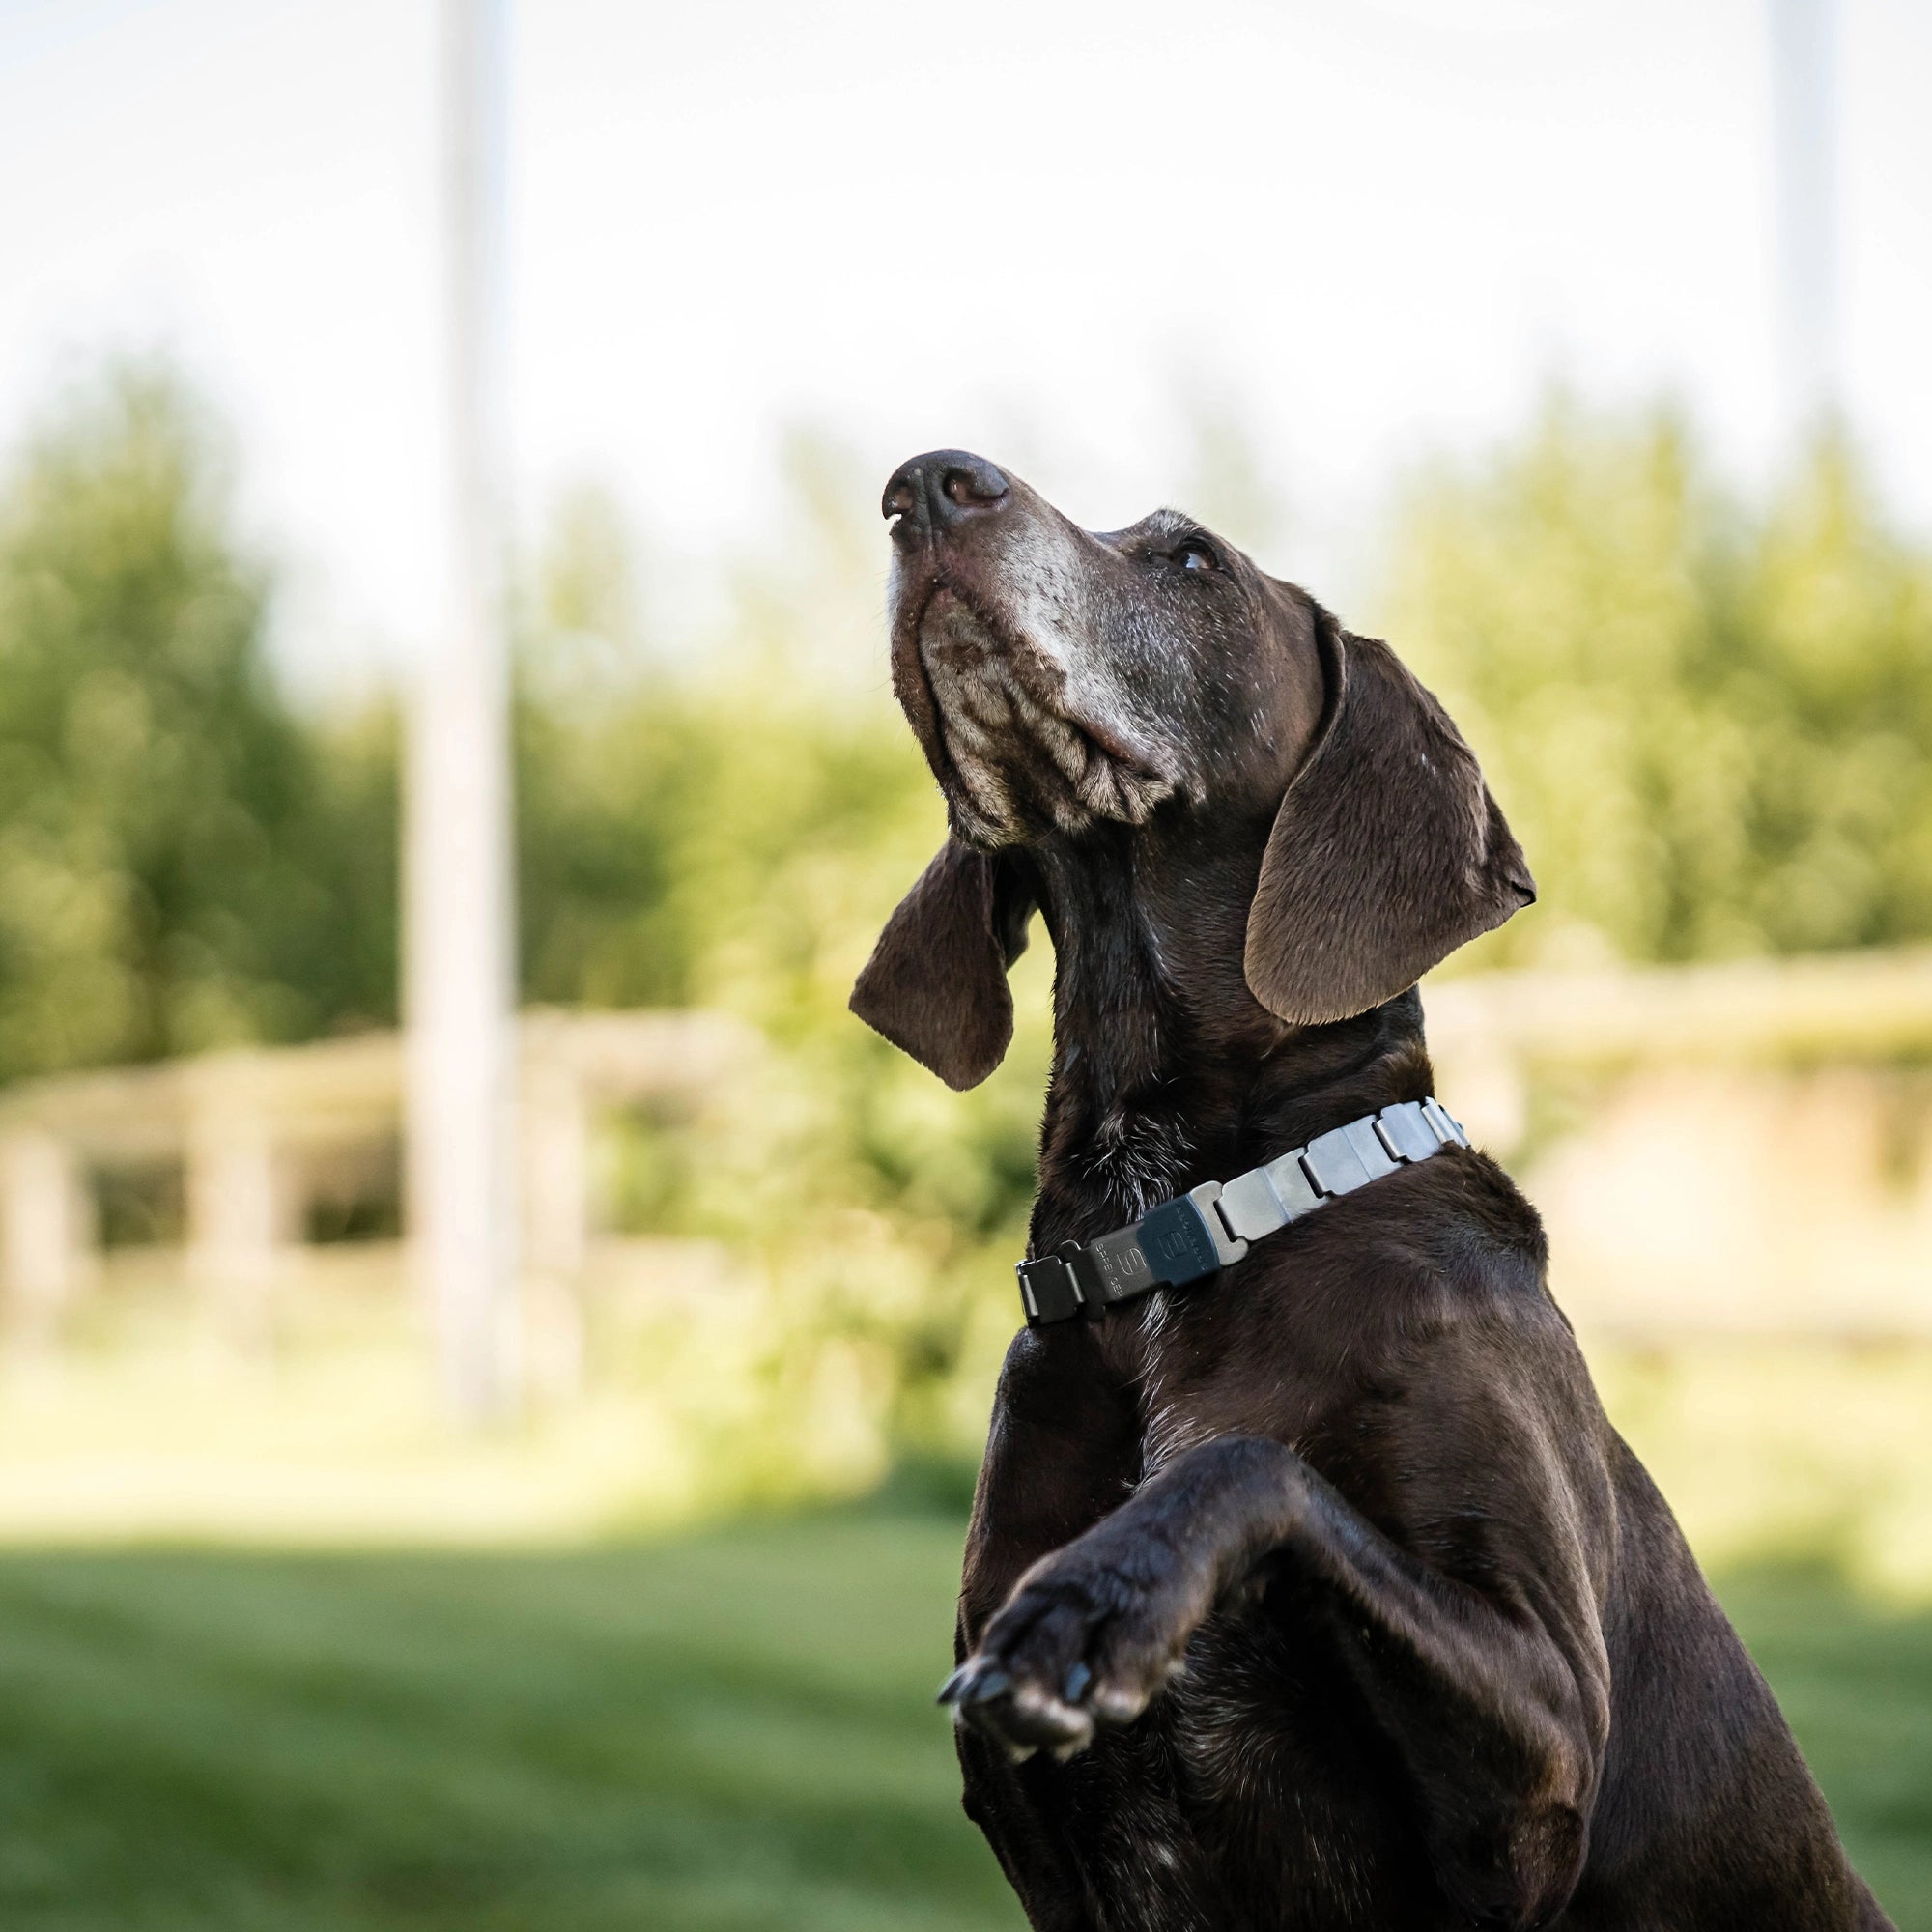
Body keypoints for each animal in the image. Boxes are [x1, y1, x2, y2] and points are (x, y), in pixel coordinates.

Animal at [854, 444, 1893, 1924]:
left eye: (1191, 560)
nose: (924, 483)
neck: (1175, 1235)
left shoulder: (1538, 1762)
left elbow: (1252, 1462)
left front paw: (1102, 1594)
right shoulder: (1040, 1837)